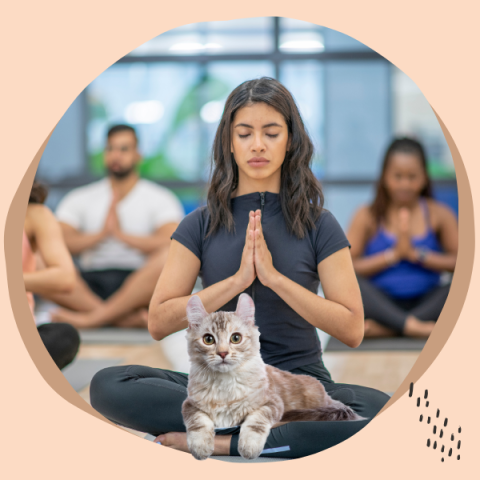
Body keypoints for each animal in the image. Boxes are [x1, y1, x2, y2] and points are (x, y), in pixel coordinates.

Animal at [182, 292, 366, 462]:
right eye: (208, 339)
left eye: (235, 338)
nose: (222, 353)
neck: (225, 384)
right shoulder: (190, 404)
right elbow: (198, 423)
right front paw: (200, 448)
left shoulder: (272, 403)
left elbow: (255, 422)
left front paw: (249, 447)